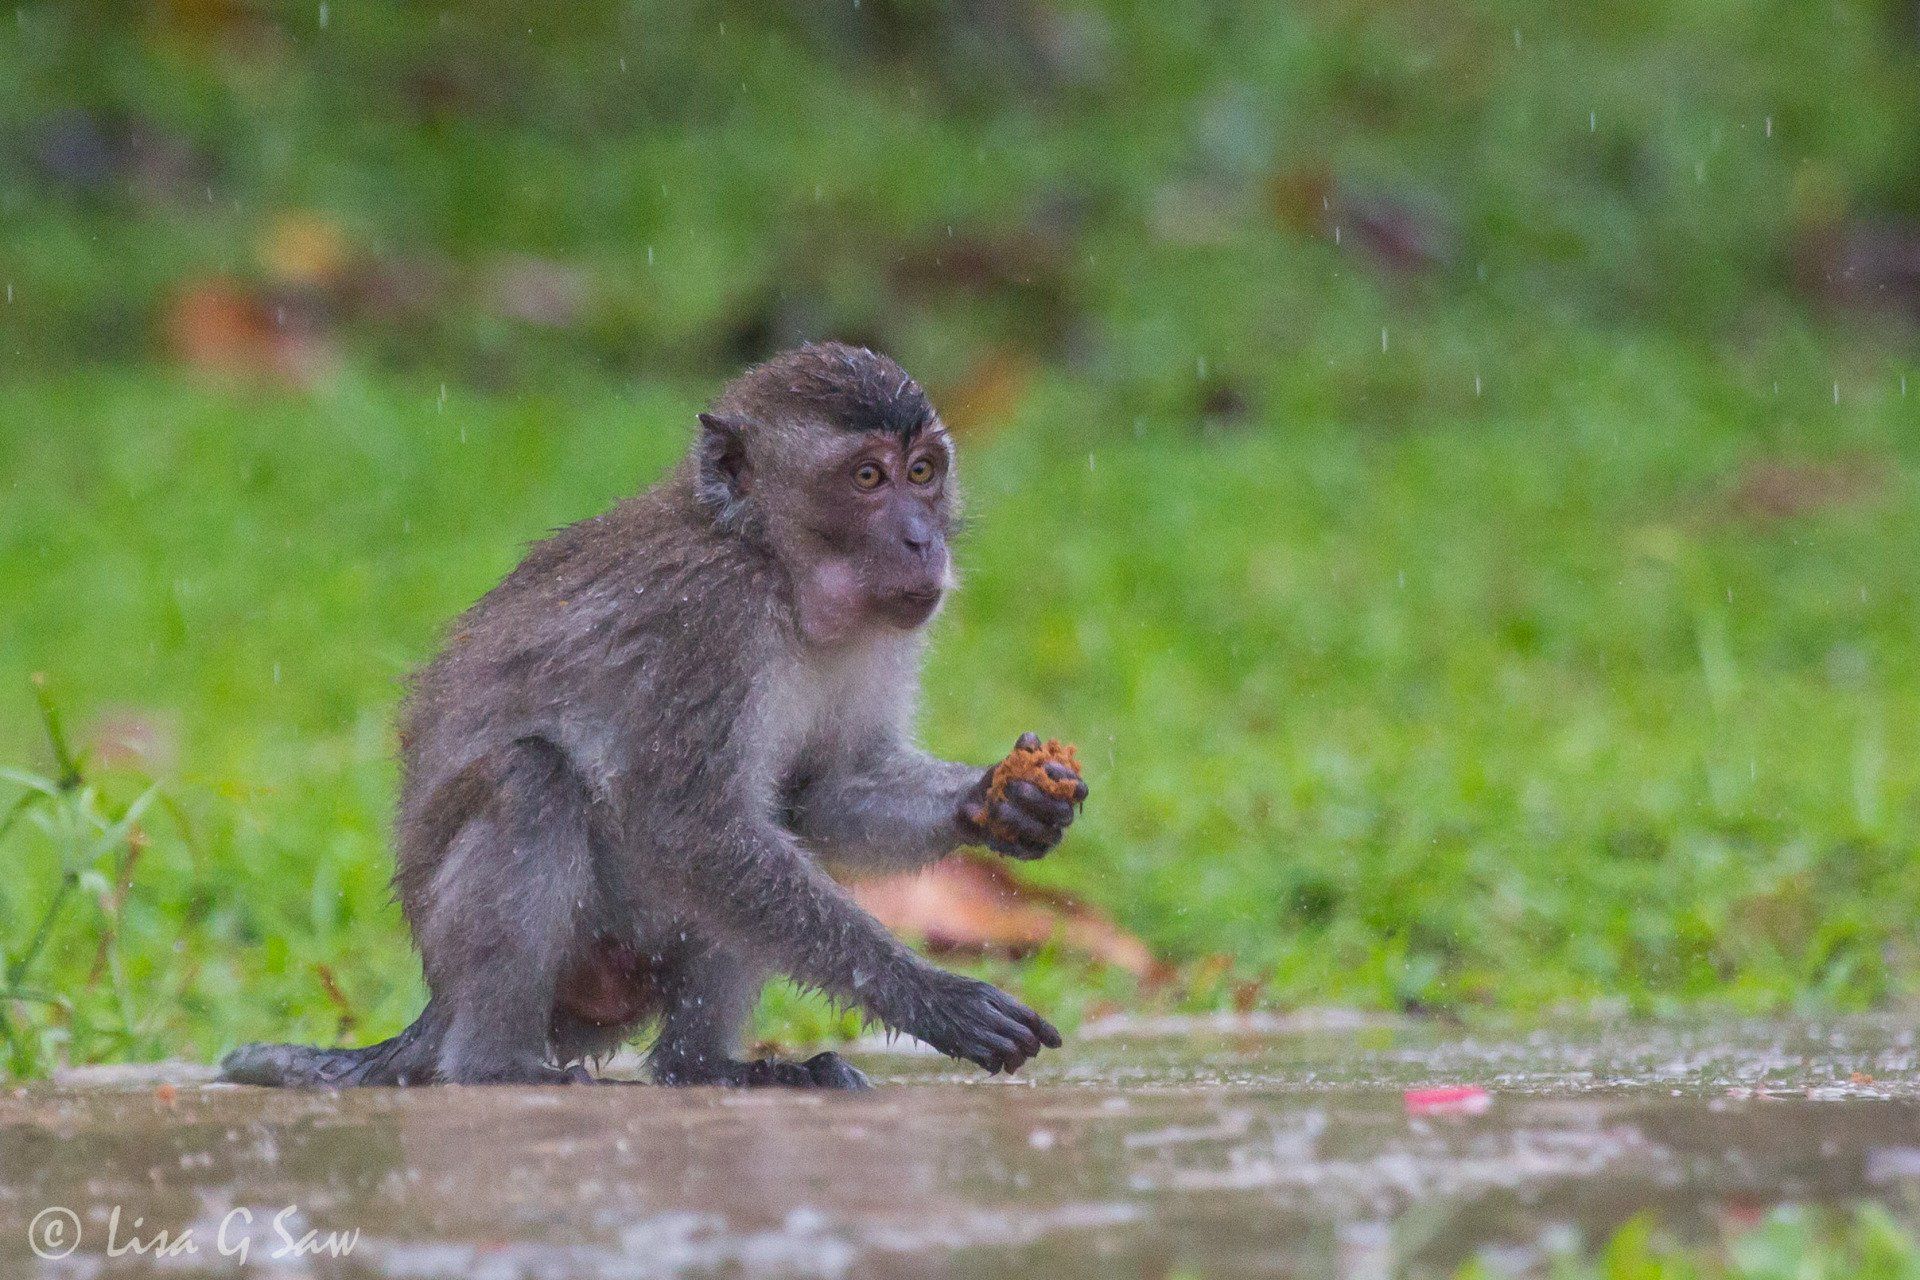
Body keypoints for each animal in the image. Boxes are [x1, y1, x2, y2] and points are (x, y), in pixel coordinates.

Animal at [221, 342, 1088, 1090]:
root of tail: (437, 1003)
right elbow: (689, 829)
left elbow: (825, 792)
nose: (920, 539)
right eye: (868, 477)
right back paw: (498, 1065)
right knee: (534, 782)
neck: (773, 566)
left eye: (923, 471)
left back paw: (706, 1066)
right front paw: (933, 996)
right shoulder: (708, 620)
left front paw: (1006, 799)